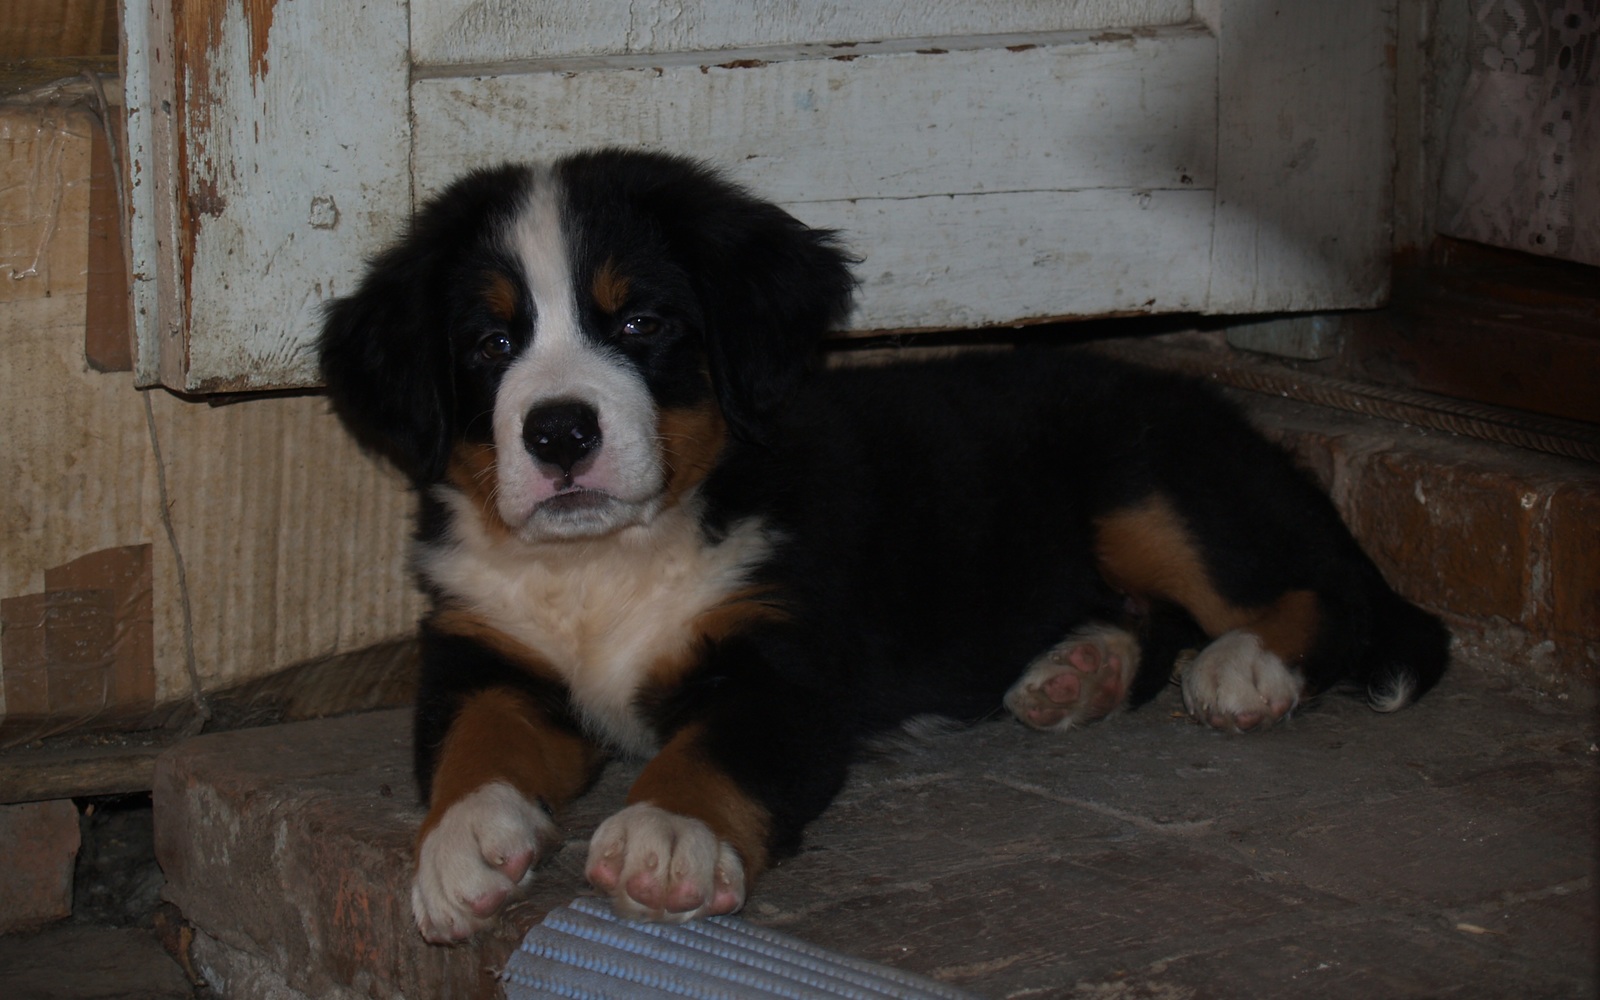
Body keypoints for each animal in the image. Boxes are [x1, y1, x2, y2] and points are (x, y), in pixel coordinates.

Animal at [315, 146, 1452, 934]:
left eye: (639, 324)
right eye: (489, 343)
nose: (557, 432)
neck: (603, 563)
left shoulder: (779, 665)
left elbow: (711, 749)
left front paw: (665, 837)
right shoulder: (483, 647)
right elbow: (475, 738)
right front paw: (463, 845)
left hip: (1148, 482)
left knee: (1320, 596)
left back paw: (1245, 670)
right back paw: (1078, 669)